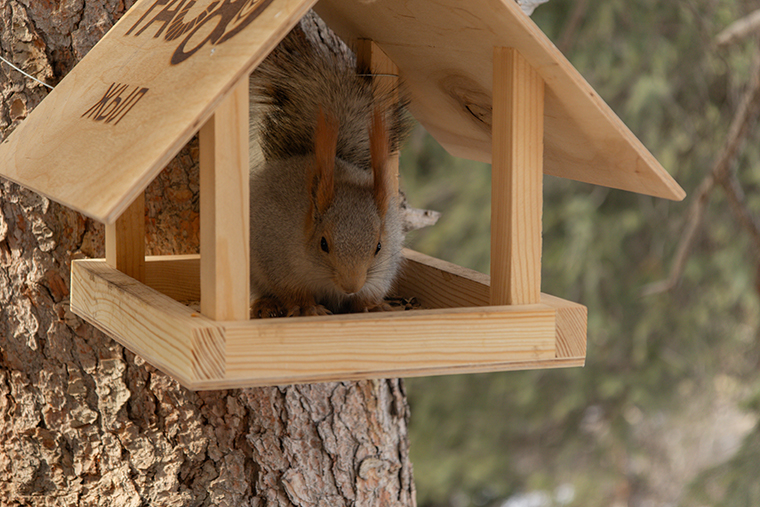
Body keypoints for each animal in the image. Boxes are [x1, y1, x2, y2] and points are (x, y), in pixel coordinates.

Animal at [248, 22, 411, 318]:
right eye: (323, 244)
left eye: (378, 247)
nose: (351, 286)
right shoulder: (276, 257)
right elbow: (293, 292)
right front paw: (308, 308)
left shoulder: (381, 271)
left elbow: (368, 296)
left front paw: (373, 305)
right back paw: (267, 305)